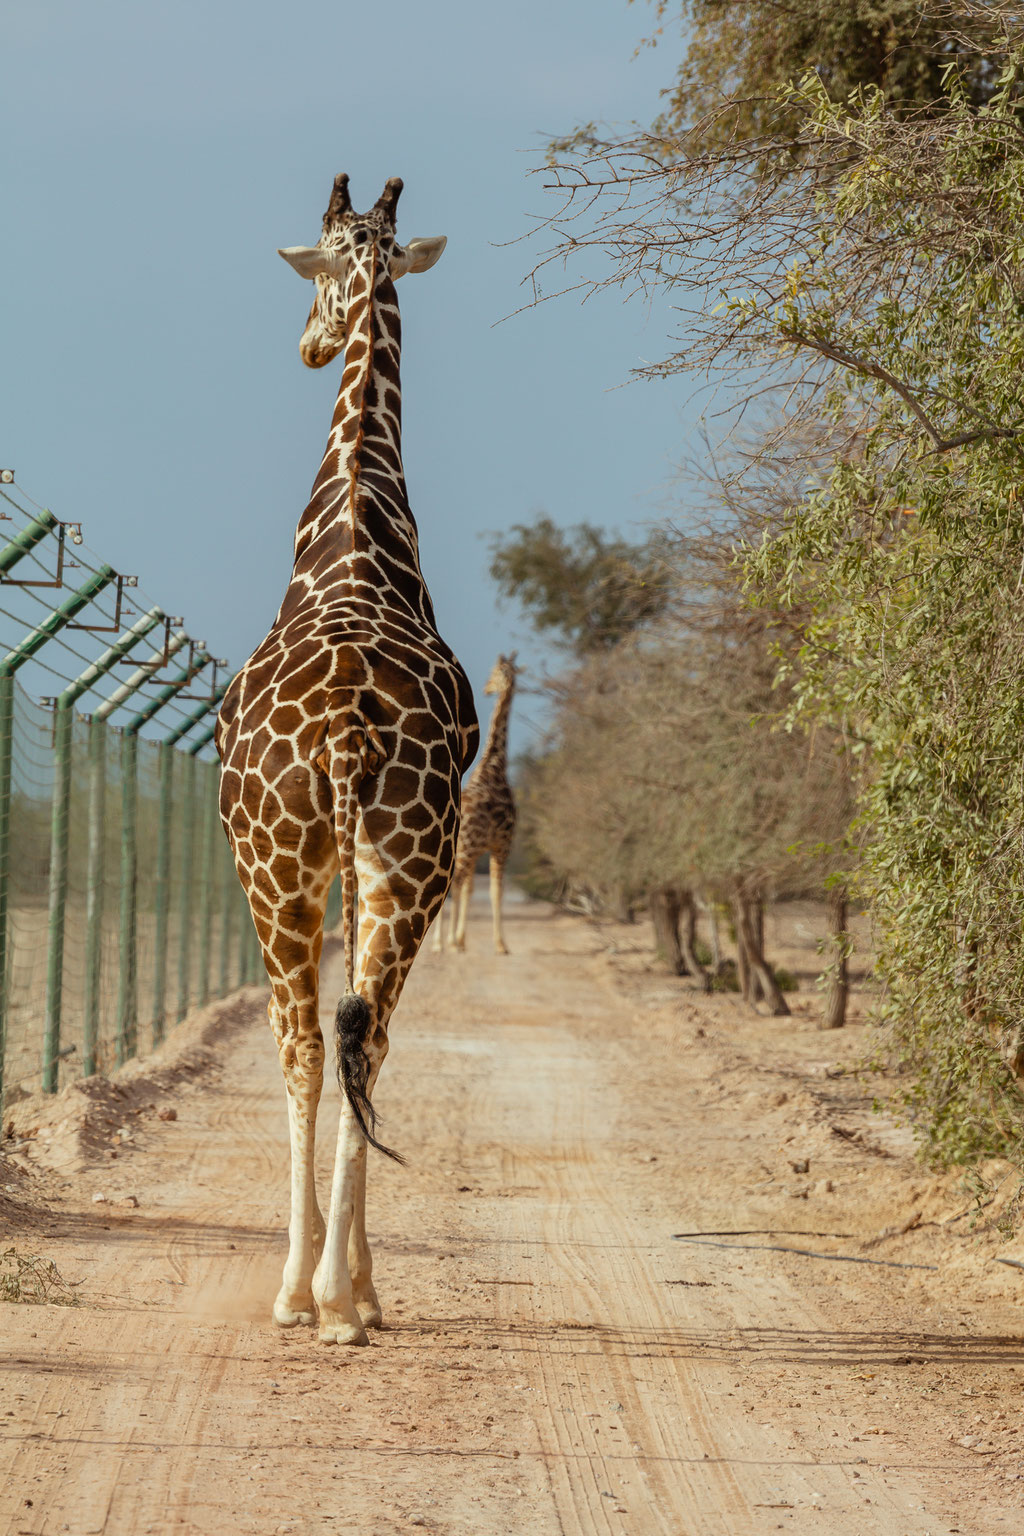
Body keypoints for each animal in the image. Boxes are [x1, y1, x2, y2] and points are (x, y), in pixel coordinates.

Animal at [436, 648, 521, 946]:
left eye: (493, 674)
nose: (486, 688)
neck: (495, 765)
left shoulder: (489, 849)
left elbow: (474, 890)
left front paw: (461, 939)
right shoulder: (502, 844)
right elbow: (496, 891)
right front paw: (501, 944)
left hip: (459, 849)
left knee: (454, 885)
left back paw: (443, 941)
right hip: (467, 847)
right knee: (454, 885)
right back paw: (445, 942)